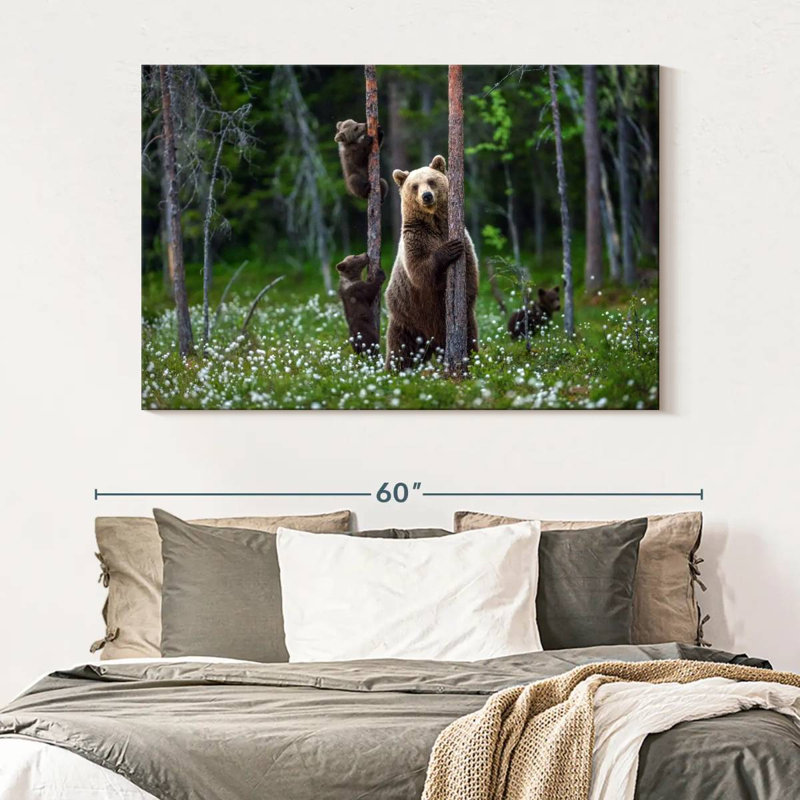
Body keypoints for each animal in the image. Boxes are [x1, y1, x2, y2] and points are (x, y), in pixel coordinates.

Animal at [384, 155, 479, 371]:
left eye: (431, 181)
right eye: (414, 186)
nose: (426, 196)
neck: (434, 223)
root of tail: (432, 342)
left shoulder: (464, 238)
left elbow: (470, 273)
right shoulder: (415, 239)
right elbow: (420, 271)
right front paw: (449, 249)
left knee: (470, 339)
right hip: (407, 319)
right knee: (400, 350)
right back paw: (393, 371)